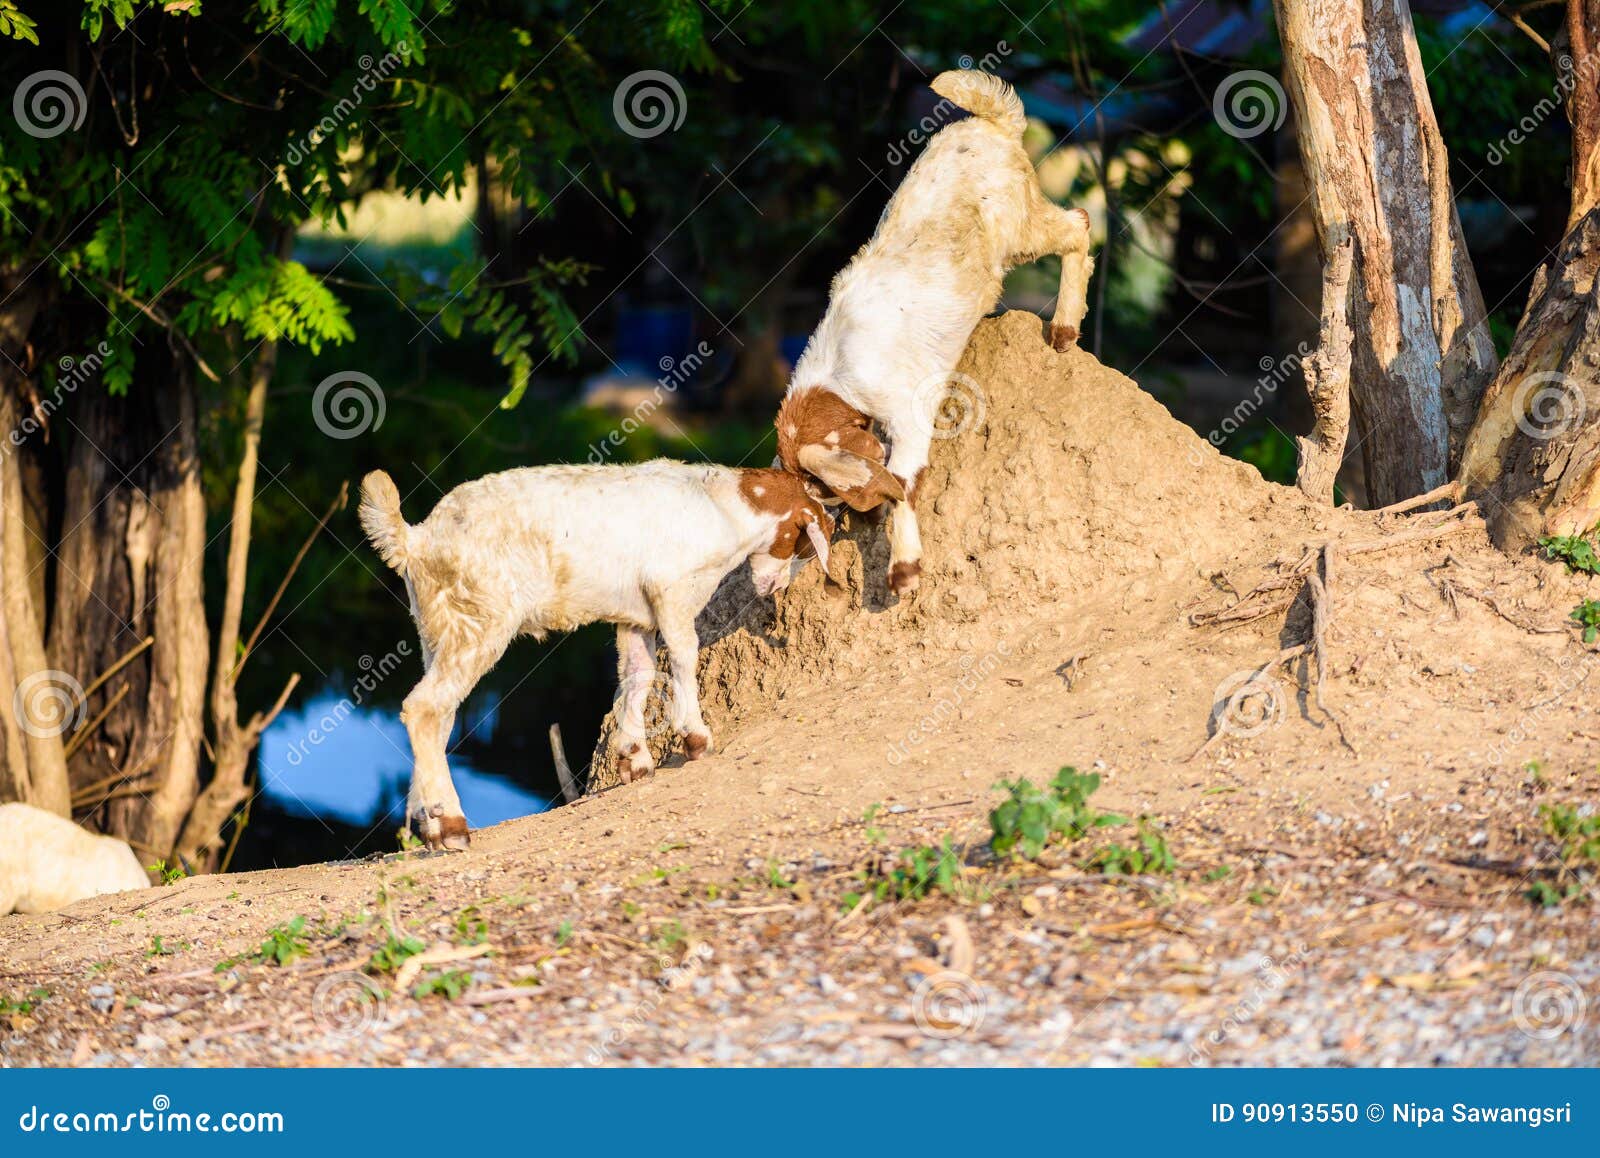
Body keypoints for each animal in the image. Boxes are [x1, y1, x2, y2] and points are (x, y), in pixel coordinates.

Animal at [359, 461, 834, 849]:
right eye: (804, 544)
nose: (776, 588)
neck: (725, 509)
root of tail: (416, 539)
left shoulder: (638, 614)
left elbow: (639, 671)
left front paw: (633, 756)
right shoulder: (673, 590)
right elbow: (684, 655)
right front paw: (696, 738)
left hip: (436, 628)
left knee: (438, 716)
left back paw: (432, 825)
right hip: (479, 620)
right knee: (424, 707)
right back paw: (454, 826)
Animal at [776, 68, 1095, 593]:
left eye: (822, 486)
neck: (838, 367)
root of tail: (993, 124)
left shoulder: (908, 409)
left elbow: (904, 483)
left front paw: (904, 572)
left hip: (1021, 222)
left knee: (1078, 224)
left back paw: (1065, 329)